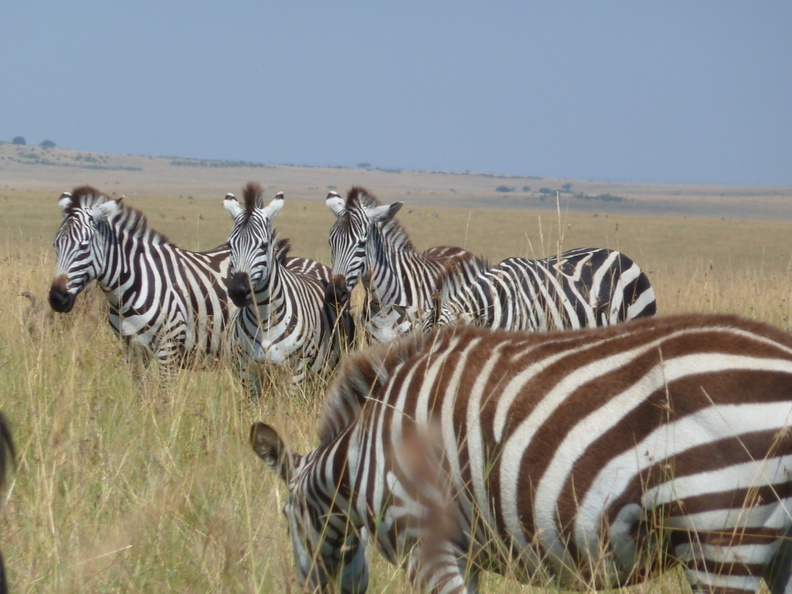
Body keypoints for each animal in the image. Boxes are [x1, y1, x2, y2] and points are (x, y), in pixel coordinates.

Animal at [224, 183, 353, 391]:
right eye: (229, 246)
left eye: (264, 245)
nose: (238, 292)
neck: (264, 318)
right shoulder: (247, 370)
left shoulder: (296, 371)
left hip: (326, 371)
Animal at [252, 314, 792, 593]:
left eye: (285, 515)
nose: (315, 588)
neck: (364, 453)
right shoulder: (461, 547)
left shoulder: (424, 539)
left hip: (719, 536)